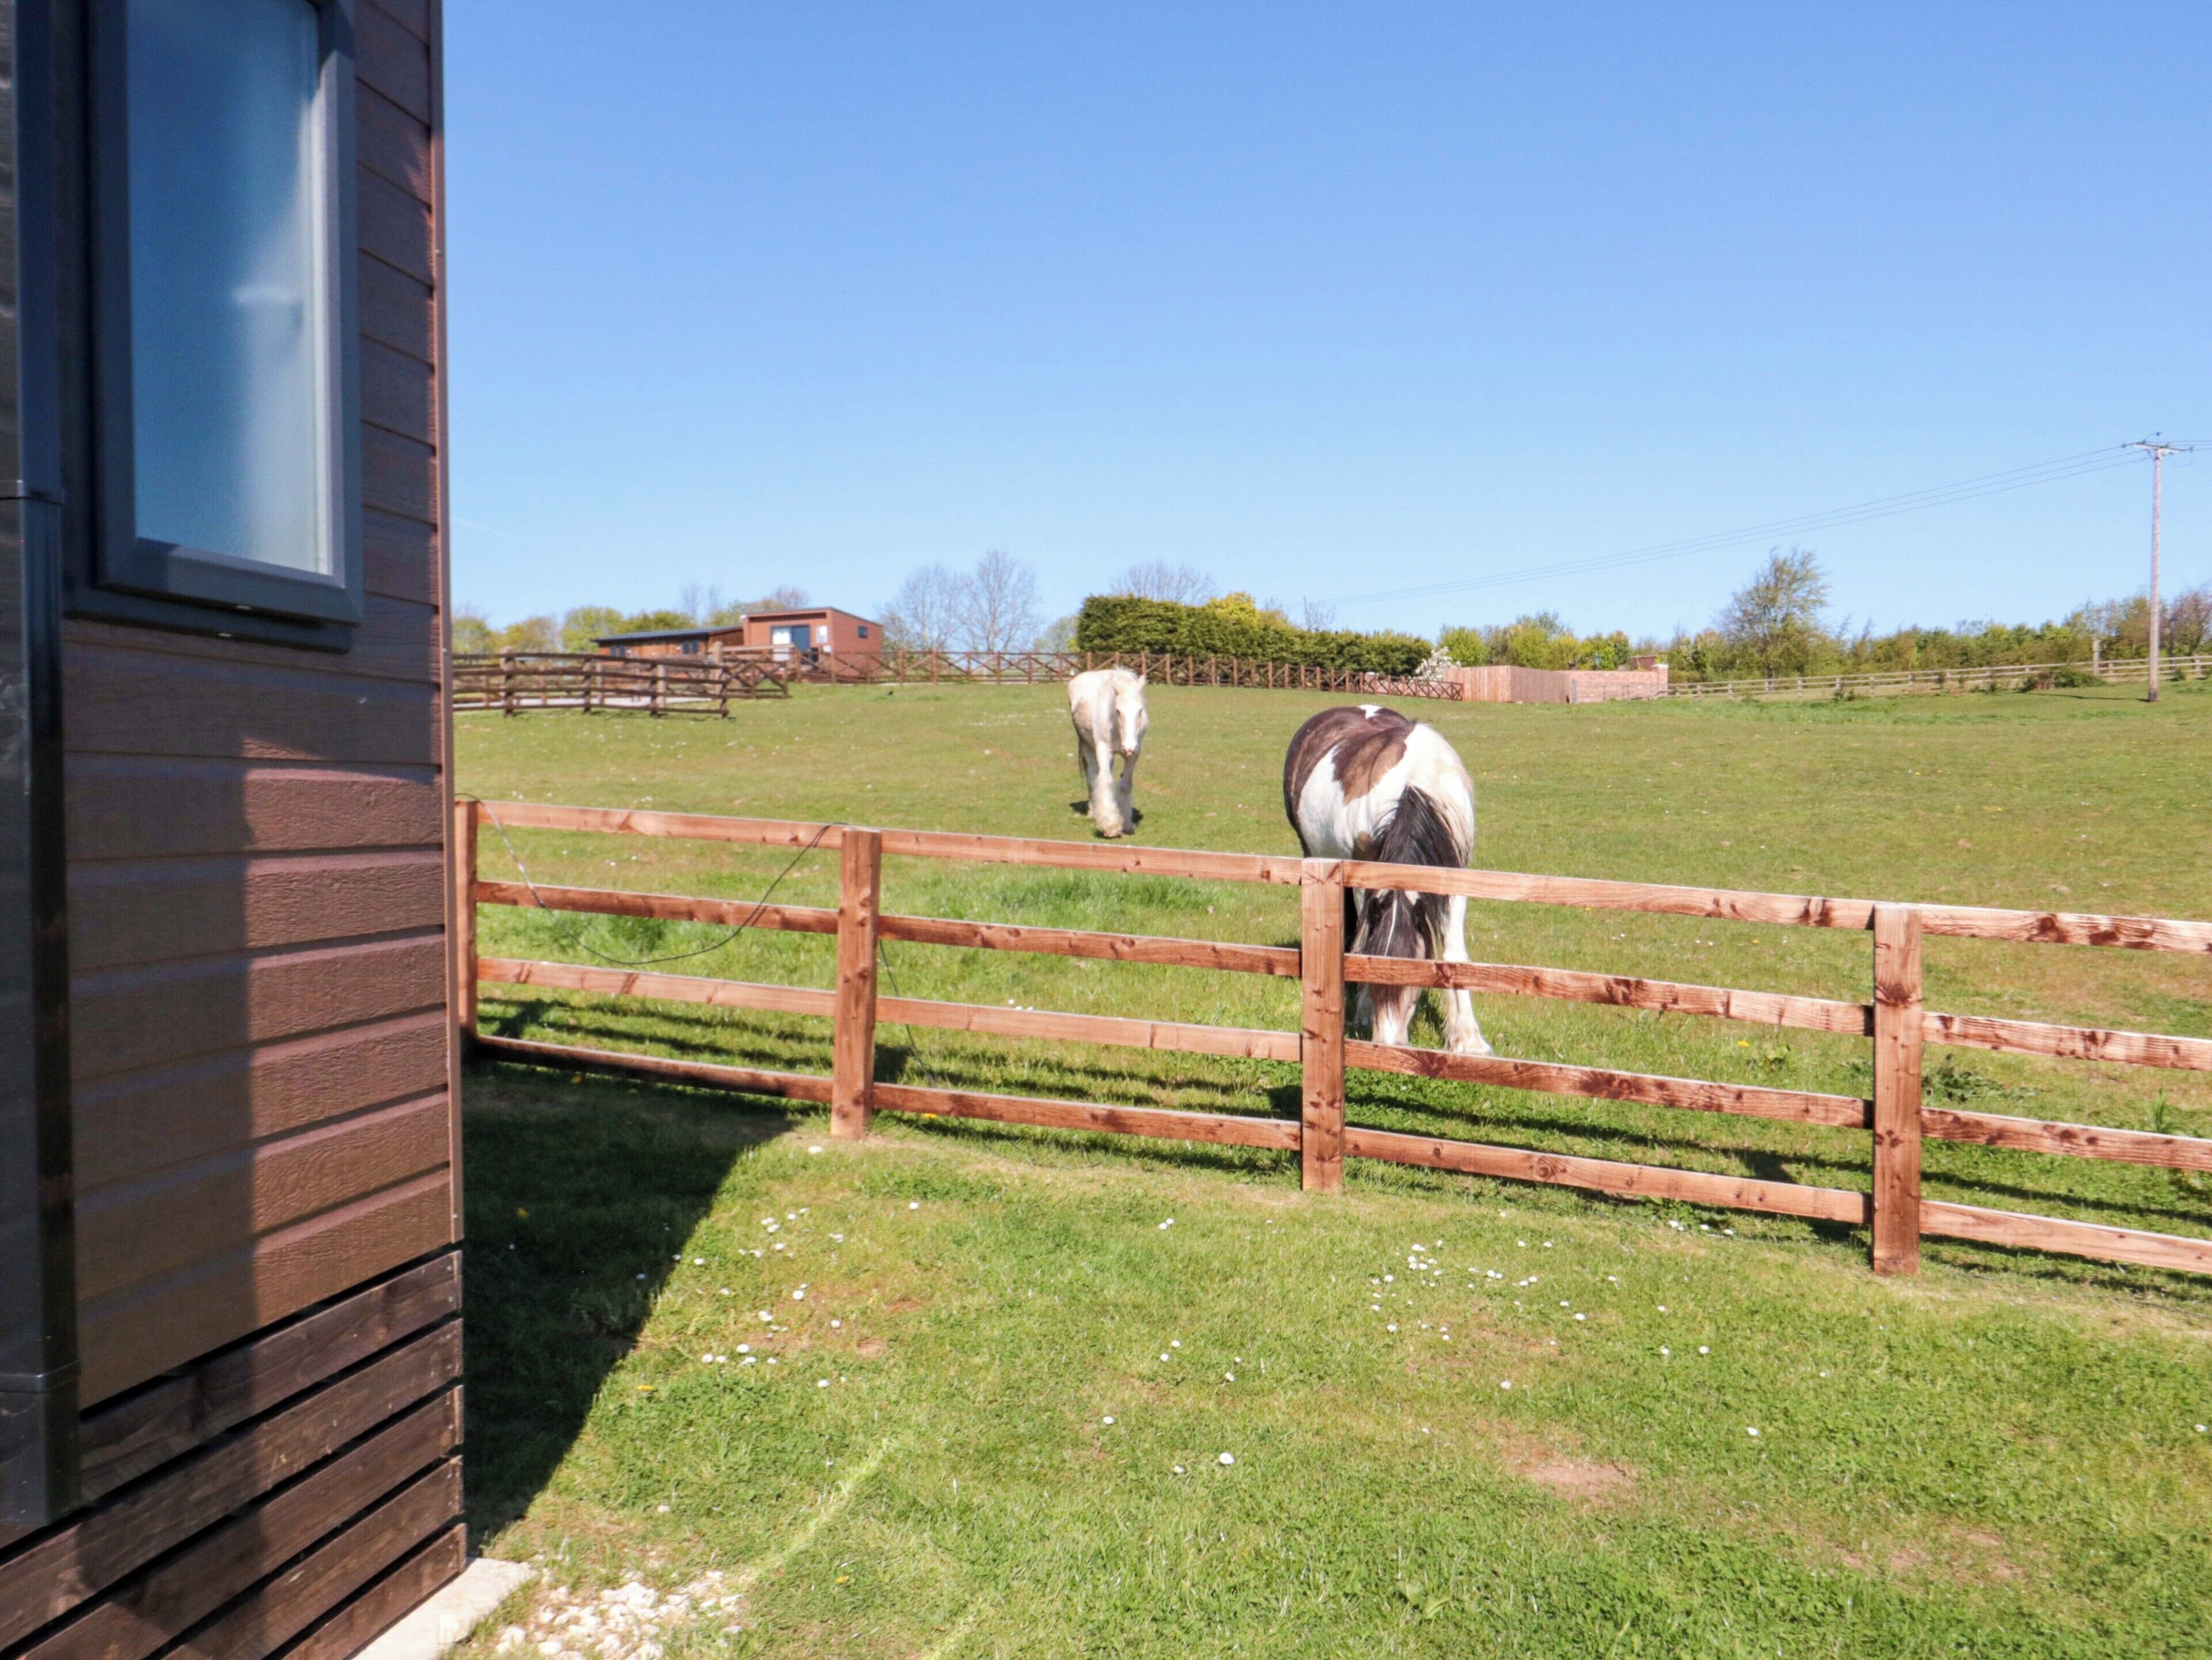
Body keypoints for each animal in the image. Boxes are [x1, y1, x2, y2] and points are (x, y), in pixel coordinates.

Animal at [1067, 667, 1149, 838]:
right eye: (1118, 711)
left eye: (1140, 711)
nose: (1129, 747)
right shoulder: (1104, 749)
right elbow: (1105, 780)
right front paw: (1110, 826)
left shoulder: (1135, 753)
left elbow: (1125, 784)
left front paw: (1126, 824)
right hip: (1087, 746)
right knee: (1093, 776)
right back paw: (1094, 812)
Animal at [1282, 704, 1489, 1054]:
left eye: (1413, 979)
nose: (1387, 1044)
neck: (1416, 781)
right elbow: (1366, 938)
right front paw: (1364, 1011)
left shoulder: (1455, 872)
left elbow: (1454, 954)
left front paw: (1468, 1039)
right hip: (1312, 851)